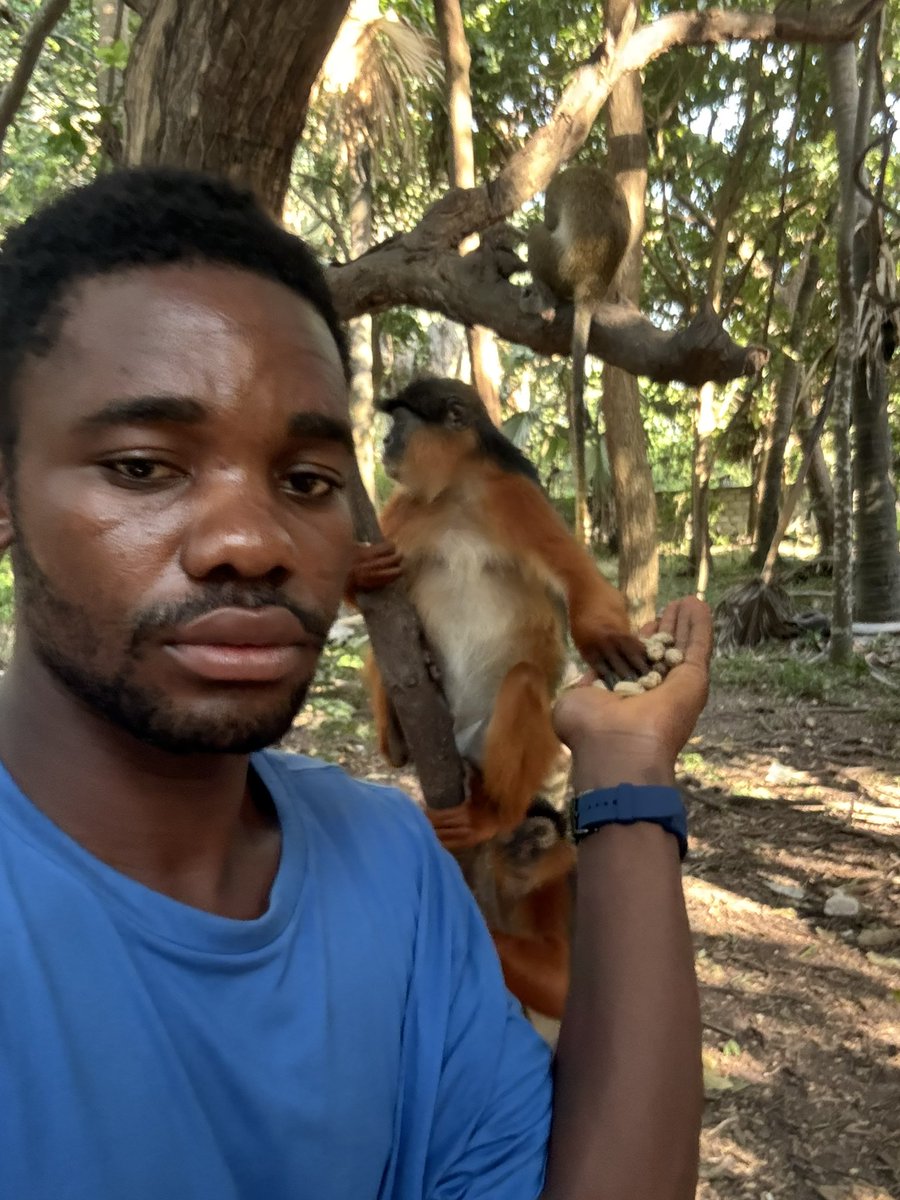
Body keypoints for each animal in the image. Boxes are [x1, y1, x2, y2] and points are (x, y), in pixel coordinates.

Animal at [348, 376, 649, 1018]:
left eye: (401, 421)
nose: (384, 441)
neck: (459, 499)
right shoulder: (408, 511)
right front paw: (358, 571)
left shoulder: (515, 498)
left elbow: (583, 584)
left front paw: (604, 638)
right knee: (382, 653)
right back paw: (401, 731)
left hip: (495, 744)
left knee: (525, 682)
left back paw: (492, 812)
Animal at [527, 165, 631, 544]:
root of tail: (590, 284)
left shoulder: (555, 191)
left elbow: (548, 218)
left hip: (560, 265)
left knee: (537, 232)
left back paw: (543, 291)